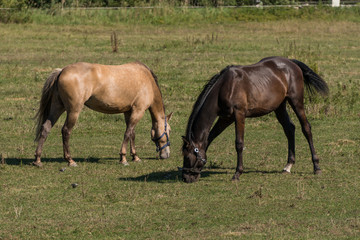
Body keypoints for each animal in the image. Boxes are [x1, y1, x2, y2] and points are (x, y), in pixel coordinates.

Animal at [34, 62, 172, 167]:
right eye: (169, 130)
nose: (167, 155)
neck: (146, 79)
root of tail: (62, 71)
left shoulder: (129, 112)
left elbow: (132, 134)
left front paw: (135, 157)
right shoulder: (138, 111)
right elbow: (127, 133)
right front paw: (123, 158)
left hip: (57, 107)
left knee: (46, 128)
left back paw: (38, 160)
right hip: (73, 111)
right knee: (66, 131)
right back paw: (70, 160)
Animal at [183, 57, 330, 183]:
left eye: (187, 156)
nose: (186, 178)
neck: (225, 87)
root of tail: (291, 63)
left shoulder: (239, 115)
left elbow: (239, 143)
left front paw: (237, 173)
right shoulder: (226, 118)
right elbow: (210, 138)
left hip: (296, 102)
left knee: (306, 128)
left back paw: (316, 167)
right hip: (279, 107)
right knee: (289, 128)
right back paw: (288, 165)